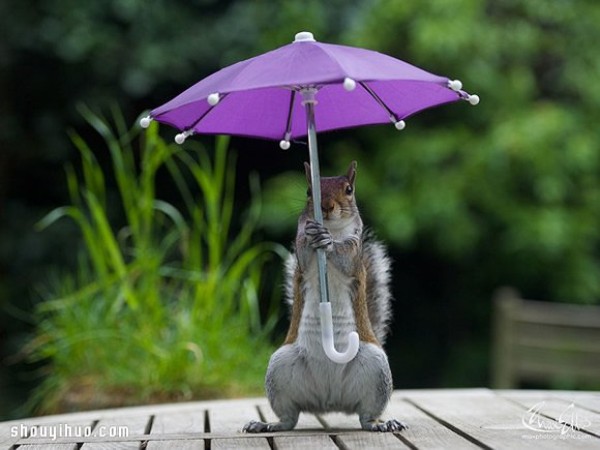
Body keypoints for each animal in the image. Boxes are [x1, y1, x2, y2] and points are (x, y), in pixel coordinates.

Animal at [241, 161, 406, 432]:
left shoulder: (354, 252)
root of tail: (330, 403)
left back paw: (380, 424)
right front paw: (313, 235)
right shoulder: (301, 251)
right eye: (309, 191)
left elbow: (344, 256)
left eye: (349, 190)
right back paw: (267, 425)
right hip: (279, 368)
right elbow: (303, 251)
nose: (326, 206)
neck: (332, 229)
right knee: (289, 418)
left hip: (376, 370)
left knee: (366, 416)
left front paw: (328, 242)